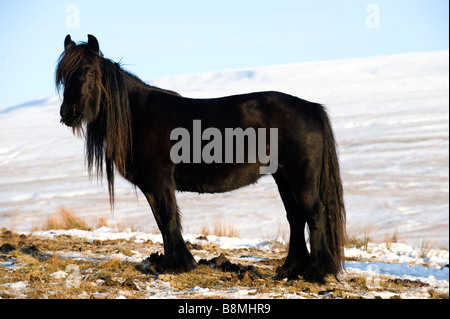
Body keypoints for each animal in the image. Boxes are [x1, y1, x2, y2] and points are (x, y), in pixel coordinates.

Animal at [55, 35, 344, 284]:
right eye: (64, 76)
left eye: (90, 72)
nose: (68, 112)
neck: (139, 115)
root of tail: (311, 108)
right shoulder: (151, 186)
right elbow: (161, 221)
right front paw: (172, 263)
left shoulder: (161, 182)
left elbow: (169, 218)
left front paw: (179, 265)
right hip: (283, 178)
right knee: (295, 217)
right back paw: (290, 270)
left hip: (300, 178)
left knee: (314, 215)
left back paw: (316, 272)